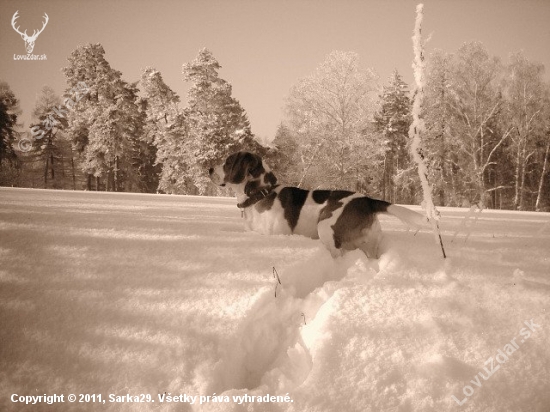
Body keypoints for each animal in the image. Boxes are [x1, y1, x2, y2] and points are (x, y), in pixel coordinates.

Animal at [209, 151, 430, 258]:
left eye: (228, 162)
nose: (210, 168)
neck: (261, 193)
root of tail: (367, 200)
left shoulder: (278, 234)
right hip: (370, 244)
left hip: (324, 226)